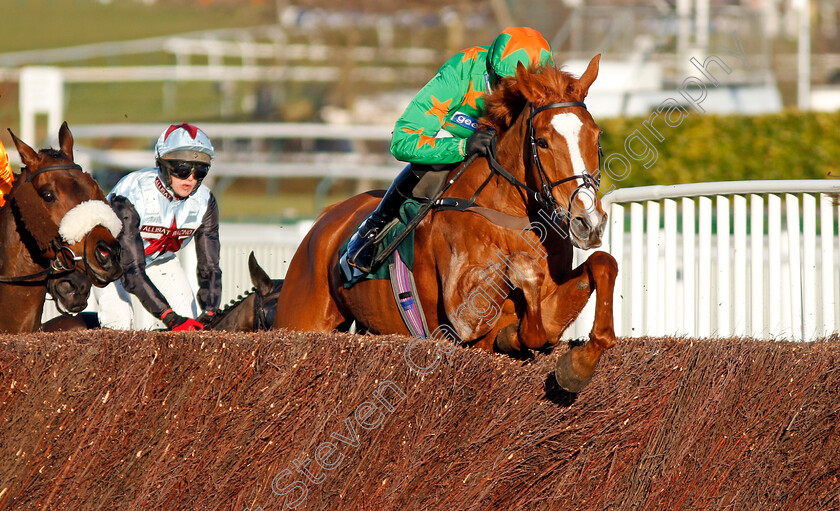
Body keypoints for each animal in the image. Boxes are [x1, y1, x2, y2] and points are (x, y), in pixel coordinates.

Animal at [274, 57, 616, 392]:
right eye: (542, 142)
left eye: (596, 136)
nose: (588, 222)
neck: (513, 218)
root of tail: (326, 217)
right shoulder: (463, 318)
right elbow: (523, 287)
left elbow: (601, 265)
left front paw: (580, 364)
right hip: (300, 316)